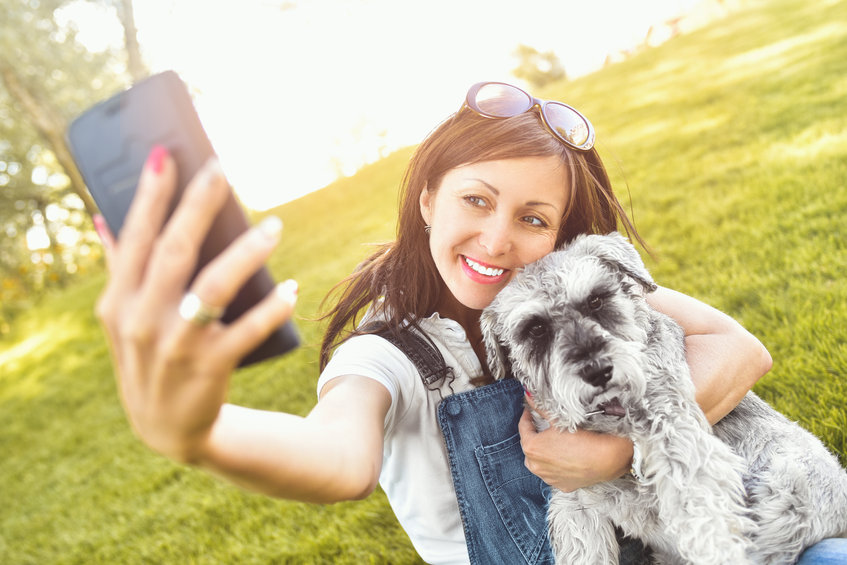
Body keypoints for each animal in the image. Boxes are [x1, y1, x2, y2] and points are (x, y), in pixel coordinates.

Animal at [480, 231, 847, 560]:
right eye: (536, 329)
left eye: (596, 300)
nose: (598, 372)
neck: (611, 416)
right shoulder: (575, 504)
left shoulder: (680, 438)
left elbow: (707, 520)